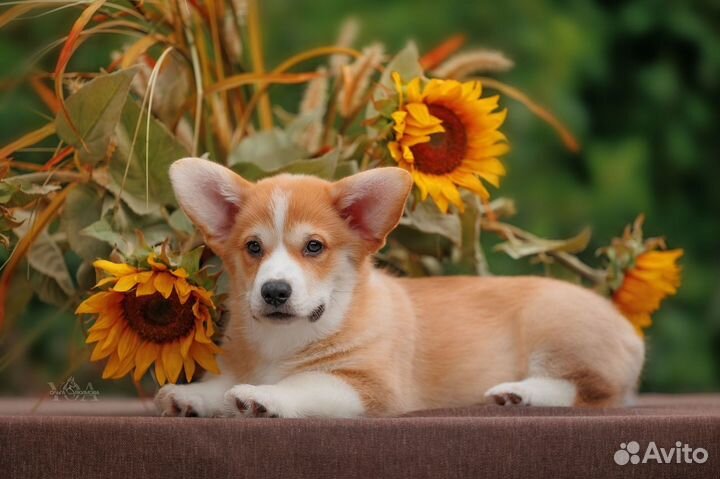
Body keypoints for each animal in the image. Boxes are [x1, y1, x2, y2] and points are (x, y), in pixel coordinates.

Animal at [155, 158, 644, 420]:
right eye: (253, 247)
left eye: (314, 247)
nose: (275, 291)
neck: (285, 340)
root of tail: (630, 330)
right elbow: (220, 385)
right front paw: (190, 396)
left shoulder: (370, 387)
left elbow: (304, 383)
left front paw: (264, 397)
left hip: (557, 328)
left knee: (592, 394)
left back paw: (519, 393)